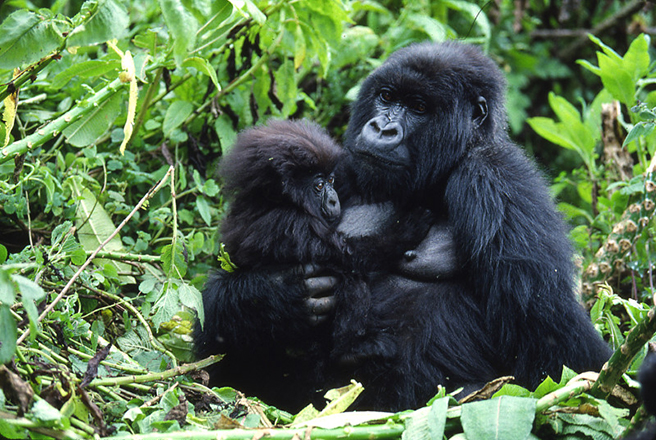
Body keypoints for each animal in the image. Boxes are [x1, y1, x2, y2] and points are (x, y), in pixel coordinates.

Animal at [193, 41, 608, 412]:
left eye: (419, 108)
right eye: (387, 96)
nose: (382, 128)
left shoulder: (498, 178)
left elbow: (560, 354)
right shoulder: (341, 170)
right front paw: (268, 298)